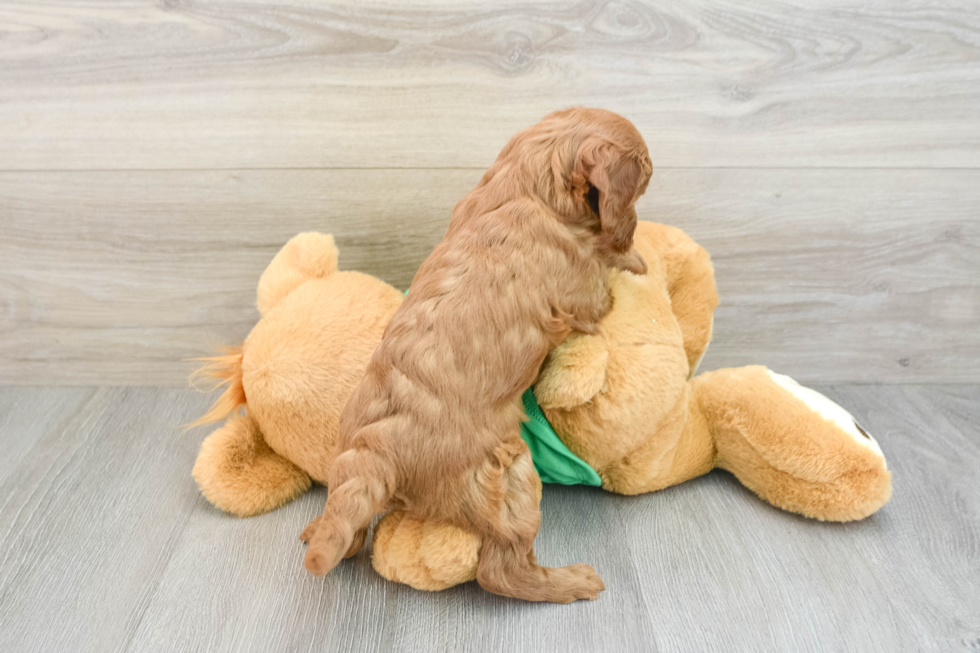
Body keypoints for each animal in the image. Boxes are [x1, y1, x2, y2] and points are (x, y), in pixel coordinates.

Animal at [298, 105, 652, 600]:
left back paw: (318, 529)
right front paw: (635, 257)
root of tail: (376, 452)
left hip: (350, 461)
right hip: (510, 474)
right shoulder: (587, 290)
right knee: (501, 571)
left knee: (348, 529)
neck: (526, 186)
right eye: (645, 177)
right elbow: (606, 276)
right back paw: (570, 582)